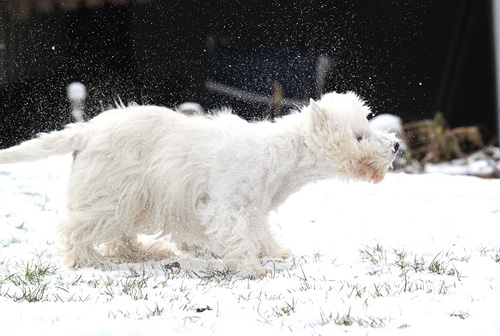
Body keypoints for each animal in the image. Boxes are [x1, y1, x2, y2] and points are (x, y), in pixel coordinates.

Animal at [0, 90, 398, 276]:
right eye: (359, 136)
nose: (395, 146)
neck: (279, 158)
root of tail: (85, 131)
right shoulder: (225, 206)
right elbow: (238, 238)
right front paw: (254, 269)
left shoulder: (254, 207)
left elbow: (260, 233)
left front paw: (275, 253)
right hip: (110, 195)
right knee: (76, 229)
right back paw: (87, 261)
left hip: (127, 199)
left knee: (119, 237)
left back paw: (147, 253)